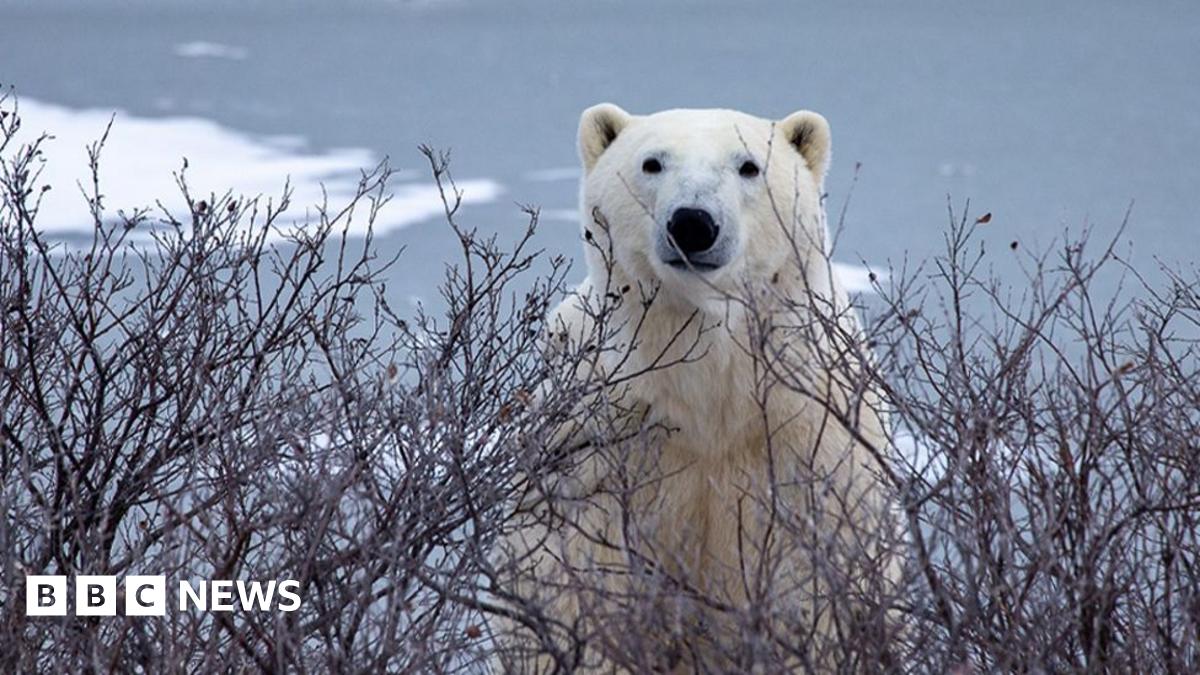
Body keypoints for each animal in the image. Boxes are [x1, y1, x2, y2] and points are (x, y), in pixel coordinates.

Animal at [492, 103, 897, 667]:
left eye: (749, 166)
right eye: (652, 162)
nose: (692, 223)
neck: (709, 391)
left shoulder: (809, 437)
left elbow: (812, 583)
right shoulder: (595, 442)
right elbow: (576, 578)